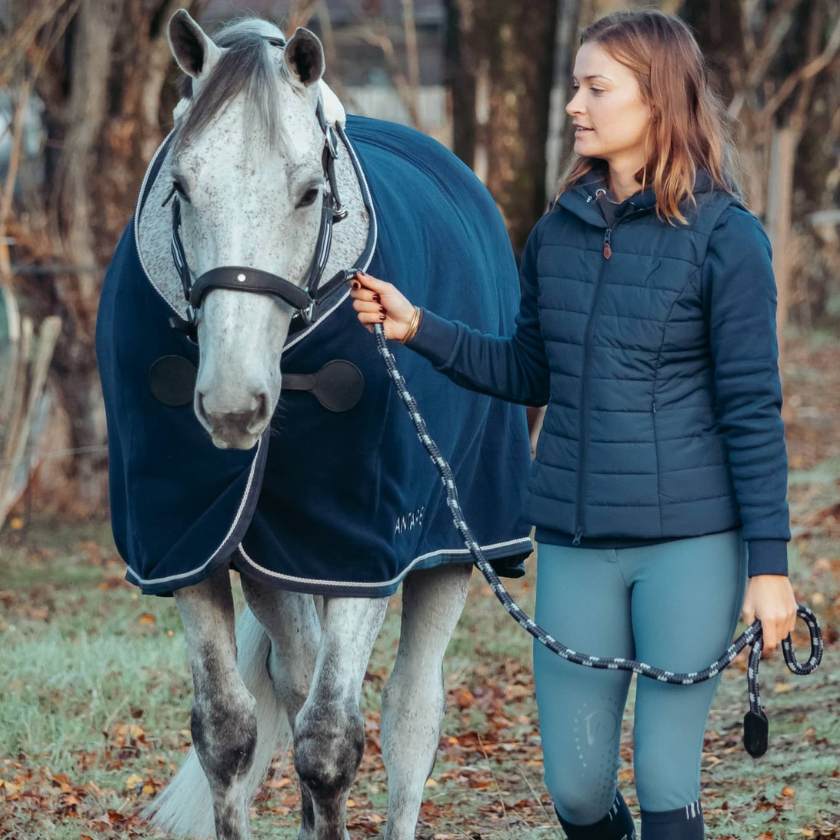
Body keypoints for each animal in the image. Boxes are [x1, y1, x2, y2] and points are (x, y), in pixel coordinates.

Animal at [97, 11, 532, 840]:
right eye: (180, 188)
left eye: (308, 193)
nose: (232, 405)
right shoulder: (190, 549)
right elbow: (227, 732)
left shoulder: (365, 549)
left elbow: (330, 743)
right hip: (282, 564)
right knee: (296, 682)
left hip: (454, 552)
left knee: (409, 716)